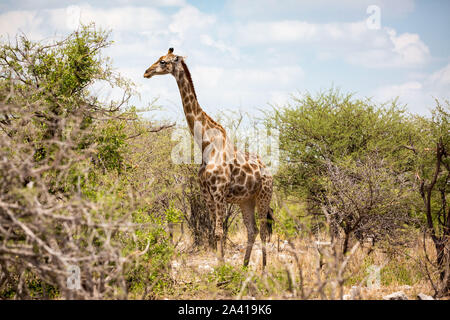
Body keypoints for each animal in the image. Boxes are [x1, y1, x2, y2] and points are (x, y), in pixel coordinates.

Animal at [144, 47, 274, 268]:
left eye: (163, 62)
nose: (146, 72)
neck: (205, 144)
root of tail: (270, 172)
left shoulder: (219, 192)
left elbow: (220, 232)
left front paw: (221, 268)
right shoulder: (207, 195)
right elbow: (215, 232)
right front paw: (220, 266)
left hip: (264, 195)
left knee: (264, 231)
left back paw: (263, 270)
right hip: (246, 200)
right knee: (252, 230)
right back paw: (244, 267)